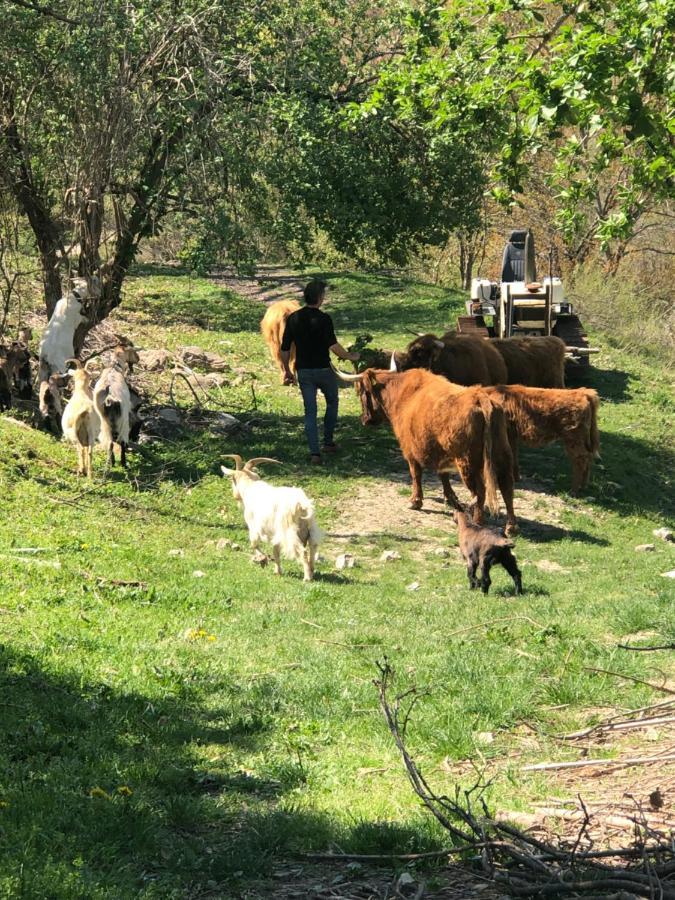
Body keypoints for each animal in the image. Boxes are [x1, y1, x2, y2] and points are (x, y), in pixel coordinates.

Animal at [338, 366, 516, 536]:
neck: (402, 396)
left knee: (480, 491)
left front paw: (415, 501)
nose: (364, 420)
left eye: (361, 393)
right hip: (502, 455)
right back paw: (511, 527)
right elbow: (443, 475)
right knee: (507, 486)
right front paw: (450, 497)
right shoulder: (439, 453)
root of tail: (480, 397)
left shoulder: (410, 450)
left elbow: (415, 474)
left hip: (467, 462)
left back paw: (479, 522)